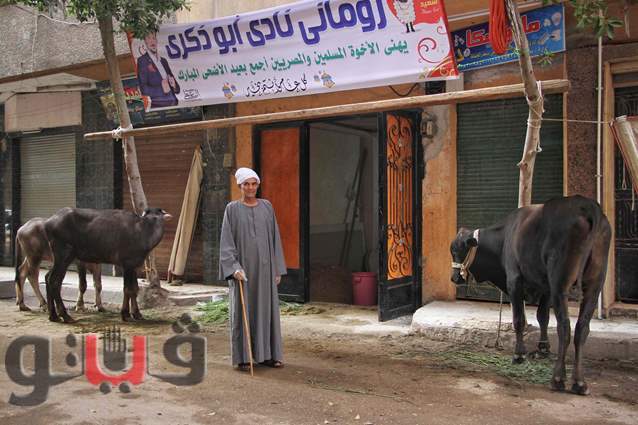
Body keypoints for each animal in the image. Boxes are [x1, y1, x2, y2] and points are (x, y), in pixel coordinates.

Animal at [450, 195, 611, 395]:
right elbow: (543, 317)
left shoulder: (514, 281)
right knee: (582, 328)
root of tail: (587, 206)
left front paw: (519, 354)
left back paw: (558, 378)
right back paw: (579, 382)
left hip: (560, 284)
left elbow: (519, 319)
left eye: (456, 251)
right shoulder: (546, 288)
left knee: (564, 327)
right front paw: (543, 349)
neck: (505, 237)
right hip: (594, 285)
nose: (454, 277)